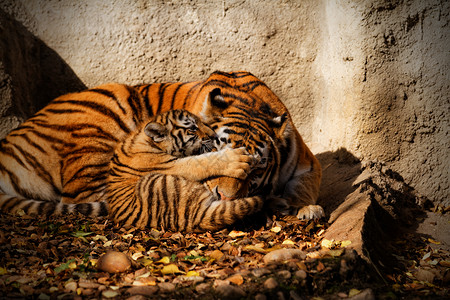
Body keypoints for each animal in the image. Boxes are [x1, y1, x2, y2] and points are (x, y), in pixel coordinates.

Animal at [134, 71, 324, 219]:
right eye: (214, 151)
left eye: (256, 170)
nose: (225, 198)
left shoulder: (308, 164)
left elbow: (301, 186)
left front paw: (305, 208)